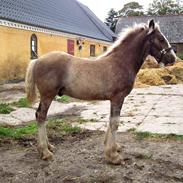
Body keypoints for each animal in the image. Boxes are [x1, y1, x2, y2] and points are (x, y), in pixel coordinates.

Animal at [25, 19, 176, 164]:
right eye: (161, 39)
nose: (173, 58)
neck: (120, 62)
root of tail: (37, 60)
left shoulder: (115, 99)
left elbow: (111, 121)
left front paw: (114, 148)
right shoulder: (118, 98)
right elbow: (115, 122)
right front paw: (113, 156)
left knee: (40, 116)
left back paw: (48, 147)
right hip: (47, 95)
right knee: (41, 116)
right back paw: (45, 152)